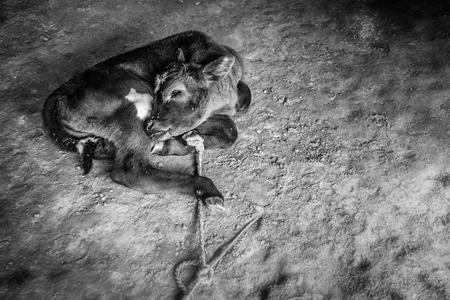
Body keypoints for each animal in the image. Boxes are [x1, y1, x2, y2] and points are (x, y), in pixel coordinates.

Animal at [41, 30, 250, 211]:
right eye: (158, 91)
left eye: (176, 92)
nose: (149, 125)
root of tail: (60, 93)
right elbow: (229, 125)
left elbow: (232, 124)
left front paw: (184, 141)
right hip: (137, 101)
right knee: (130, 169)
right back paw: (206, 189)